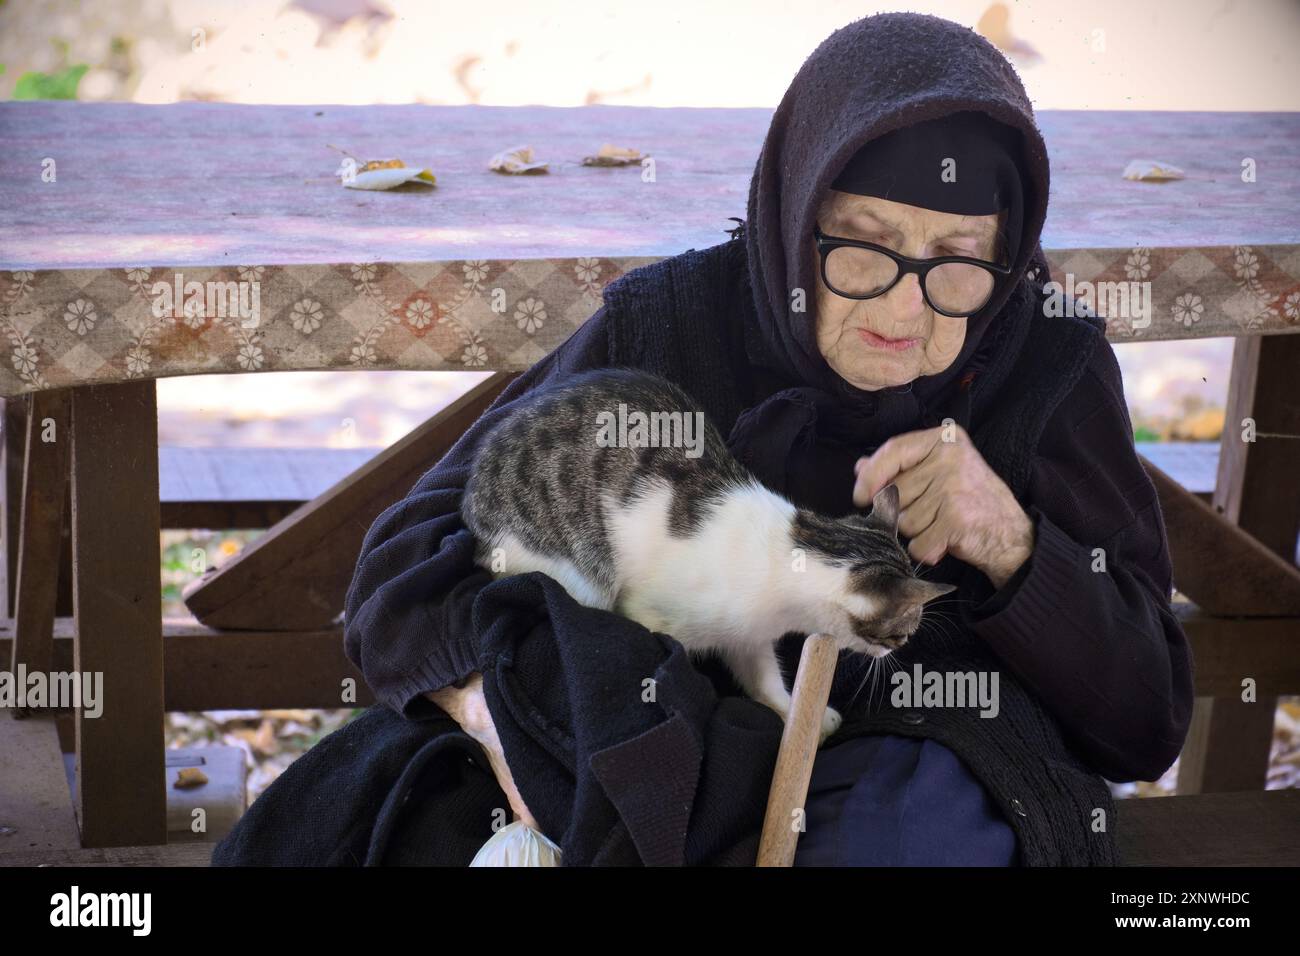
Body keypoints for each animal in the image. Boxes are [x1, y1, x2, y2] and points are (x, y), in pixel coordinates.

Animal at [462, 366, 951, 738]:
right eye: (903, 633)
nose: (894, 653)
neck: (798, 547)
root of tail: (473, 501)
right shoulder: (645, 615)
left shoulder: (749, 638)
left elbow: (763, 678)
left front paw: (793, 712)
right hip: (578, 573)